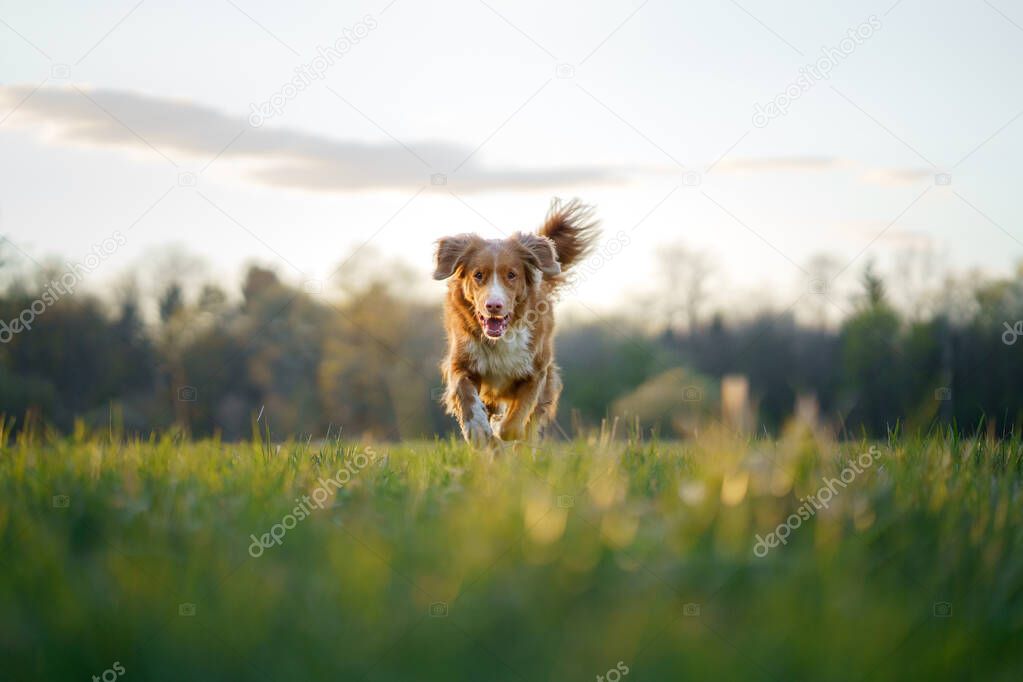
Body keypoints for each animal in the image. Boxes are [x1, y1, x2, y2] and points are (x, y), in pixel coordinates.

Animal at [433, 197, 597, 445]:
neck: (501, 337)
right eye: (478, 275)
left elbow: (512, 424)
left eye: (511, 275)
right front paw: (478, 429)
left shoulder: (536, 372)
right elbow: (465, 393)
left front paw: (500, 429)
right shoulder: (460, 363)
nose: (494, 306)